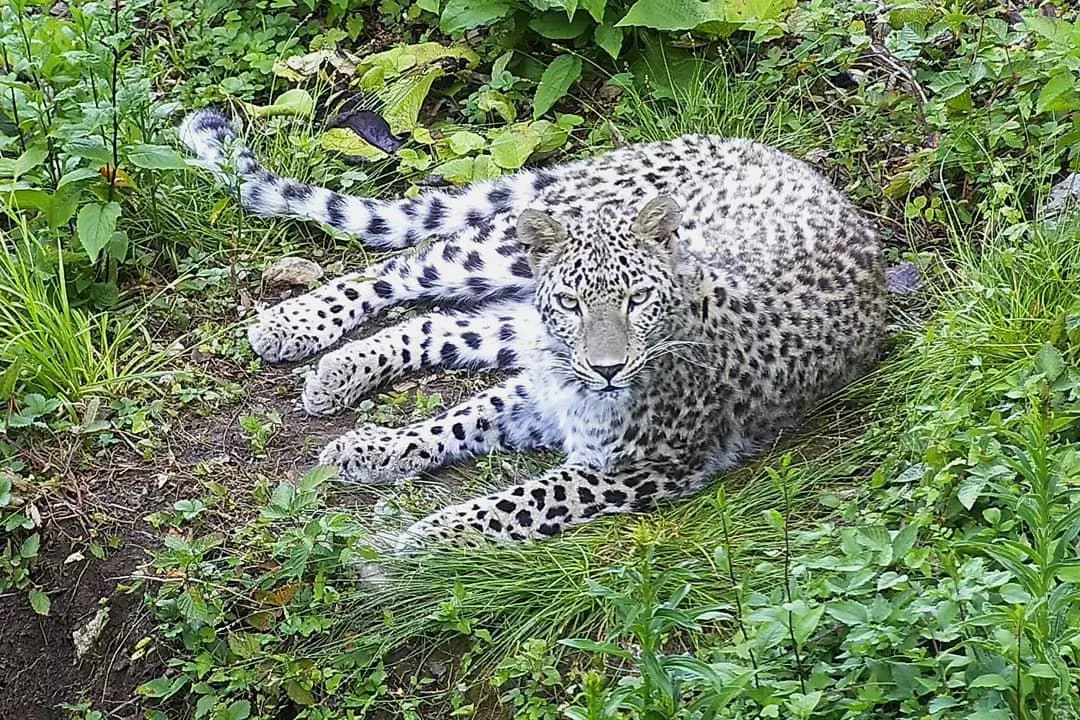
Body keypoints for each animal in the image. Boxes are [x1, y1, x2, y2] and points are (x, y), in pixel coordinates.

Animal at [179, 108, 887, 552]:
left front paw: (415, 527)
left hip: (512, 312)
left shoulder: (638, 465)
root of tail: (731, 142)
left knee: (444, 320)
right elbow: (460, 421)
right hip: (503, 250)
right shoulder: (554, 393)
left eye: (638, 300)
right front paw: (376, 455)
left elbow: (503, 492)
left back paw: (336, 371)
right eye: (572, 303)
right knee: (405, 267)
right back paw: (294, 325)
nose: (606, 367)